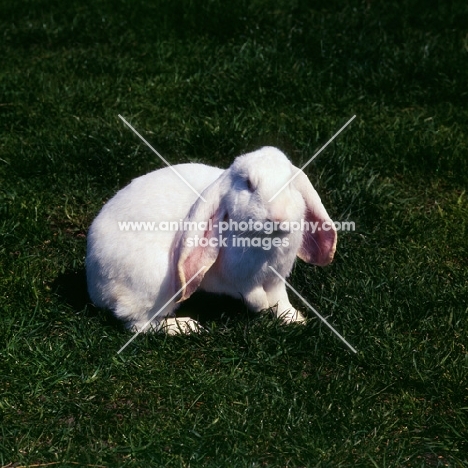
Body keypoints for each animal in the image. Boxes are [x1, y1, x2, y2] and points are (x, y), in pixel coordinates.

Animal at [86, 146, 336, 332]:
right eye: (248, 184)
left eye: (291, 184)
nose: (278, 217)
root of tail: (95, 285)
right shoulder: (234, 282)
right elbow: (254, 297)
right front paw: (263, 307)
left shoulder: (276, 278)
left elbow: (281, 299)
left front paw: (295, 319)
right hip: (153, 286)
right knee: (139, 324)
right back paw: (187, 326)